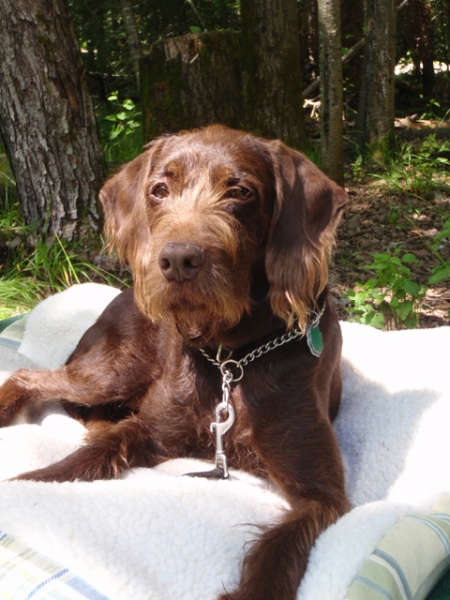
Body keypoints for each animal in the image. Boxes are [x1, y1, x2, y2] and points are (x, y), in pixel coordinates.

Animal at [0, 126, 348, 600]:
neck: (230, 358)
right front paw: (22, 486)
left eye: (240, 191)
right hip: (112, 370)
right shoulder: (149, 429)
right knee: (28, 375)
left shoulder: (322, 494)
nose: (177, 260)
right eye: (159, 190)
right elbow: (75, 463)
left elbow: (279, 549)